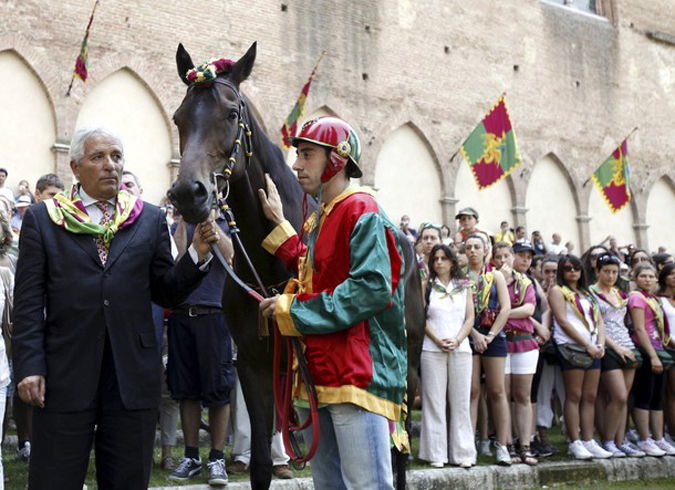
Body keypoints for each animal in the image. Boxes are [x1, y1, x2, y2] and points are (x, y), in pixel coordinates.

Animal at [169, 42, 422, 490]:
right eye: (179, 117)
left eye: (231, 113)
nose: (188, 193)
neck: (265, 266)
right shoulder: (254, 364)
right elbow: (261, 462)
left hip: (405, 370)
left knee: (398, 453)